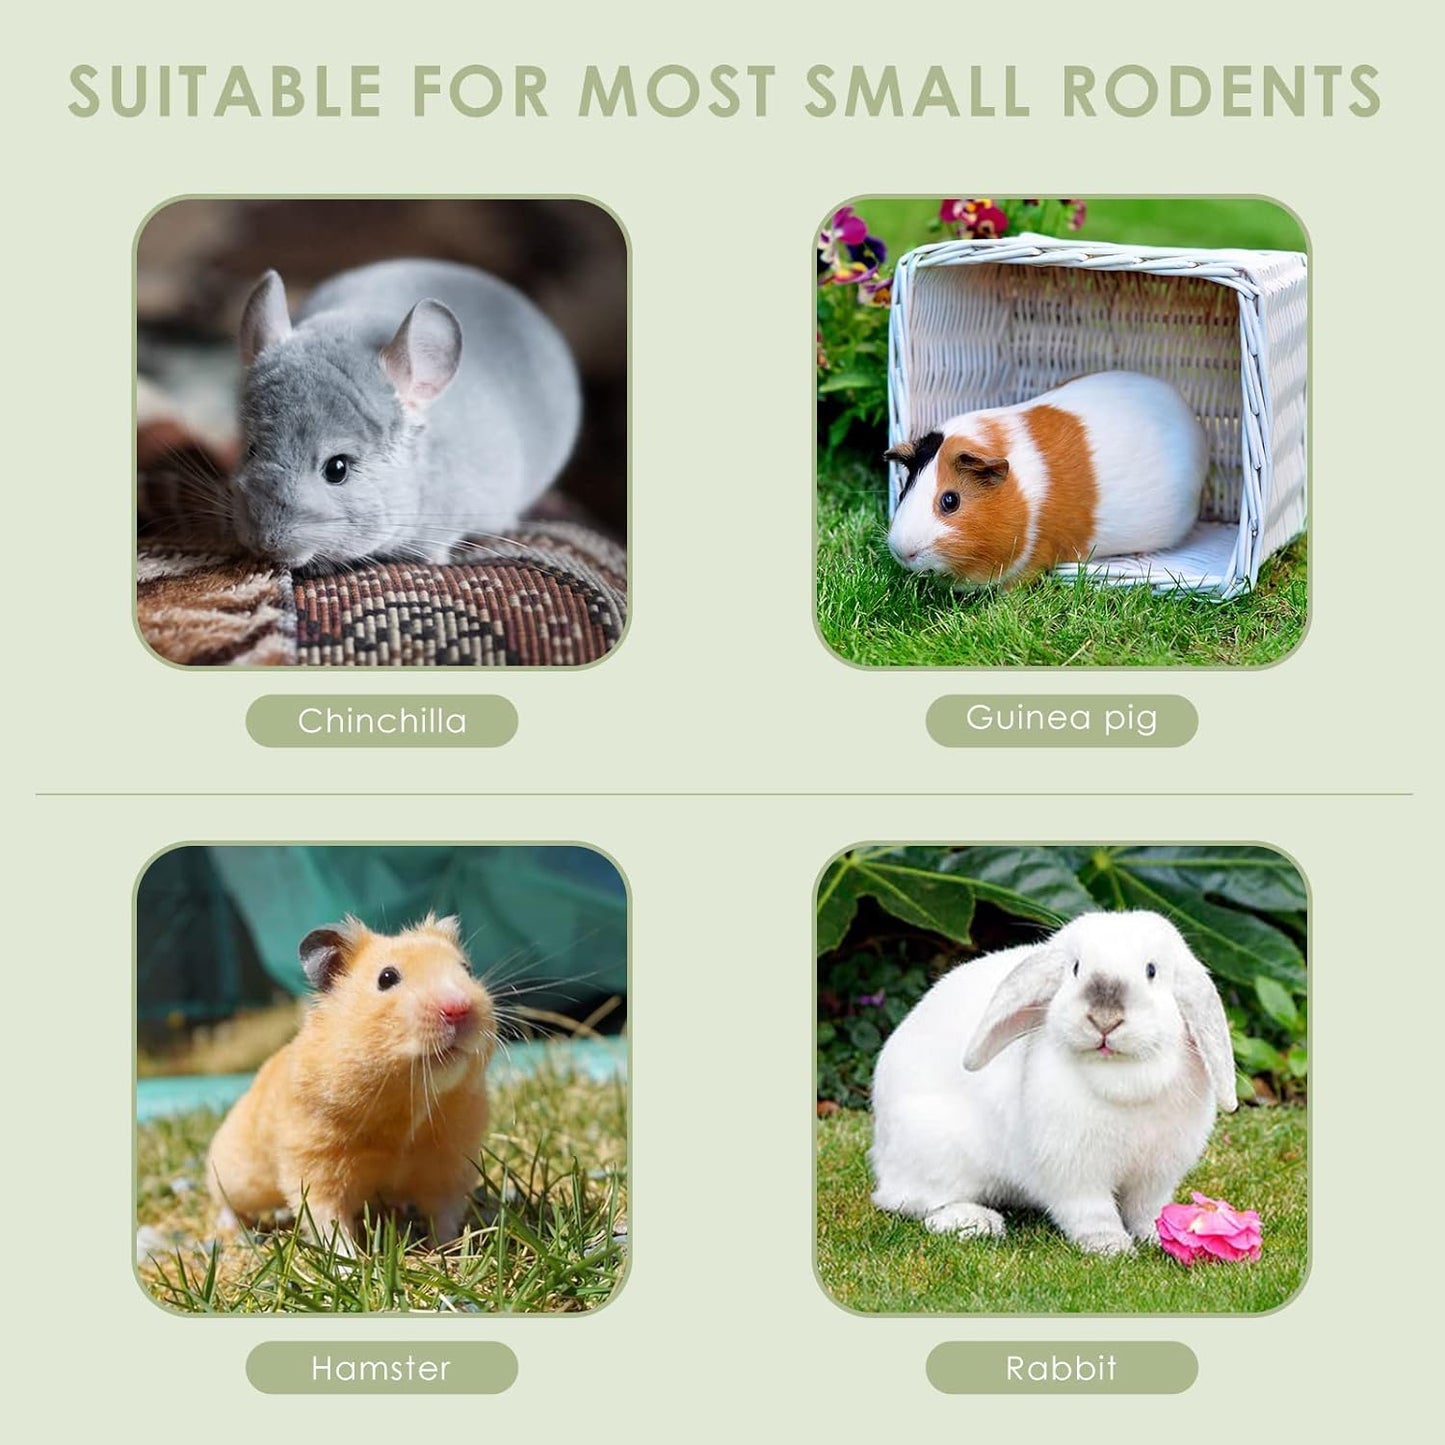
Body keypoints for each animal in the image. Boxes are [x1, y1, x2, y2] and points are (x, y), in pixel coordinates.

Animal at [206, 913, 496, 1251]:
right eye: (387, 978)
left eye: (467, 969)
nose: (458, 1008)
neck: (408, 1097)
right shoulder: (315, 1166)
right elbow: (329, 1222)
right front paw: (351, 1260)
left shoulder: (450, 1164)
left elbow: (446, 1215)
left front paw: (450, 1250)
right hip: (237, 1173)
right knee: (225, 1198)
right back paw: (230, 1230)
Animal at [868, 910, 1238, 1255]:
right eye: (1075, 969)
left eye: (1151, 971)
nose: (1104, 1019)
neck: (1121, 1076)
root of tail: (882, 1149)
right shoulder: (1074, 1173)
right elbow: (1092, 1213)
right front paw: (1110, 1247)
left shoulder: (1155, 1177)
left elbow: (1147, 1211)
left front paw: (1158, 1237)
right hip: (937, 1155)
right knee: (912, 1202)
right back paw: (974, 1221)